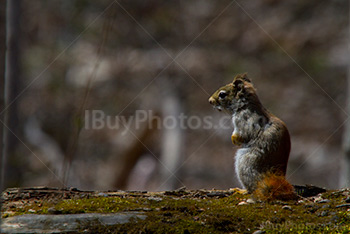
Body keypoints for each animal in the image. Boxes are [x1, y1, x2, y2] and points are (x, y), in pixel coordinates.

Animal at [209, 73, 296, 201]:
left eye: (222, 94)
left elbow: (243, 135)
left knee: (252, 188)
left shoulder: (246, 121)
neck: (244, 106)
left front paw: (234, 139)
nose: (210, 101)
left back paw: (242, 191)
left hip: (245, 163)